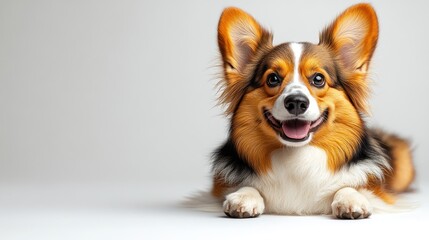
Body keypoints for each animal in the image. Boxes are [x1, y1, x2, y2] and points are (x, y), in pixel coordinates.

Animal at [211, 3, 414, 219]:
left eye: (318, 79)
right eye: (272, 79)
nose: (296, 102)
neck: (297, 155)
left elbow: (352, 187)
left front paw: (351, 199)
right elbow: (246, 187)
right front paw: (243, 197)